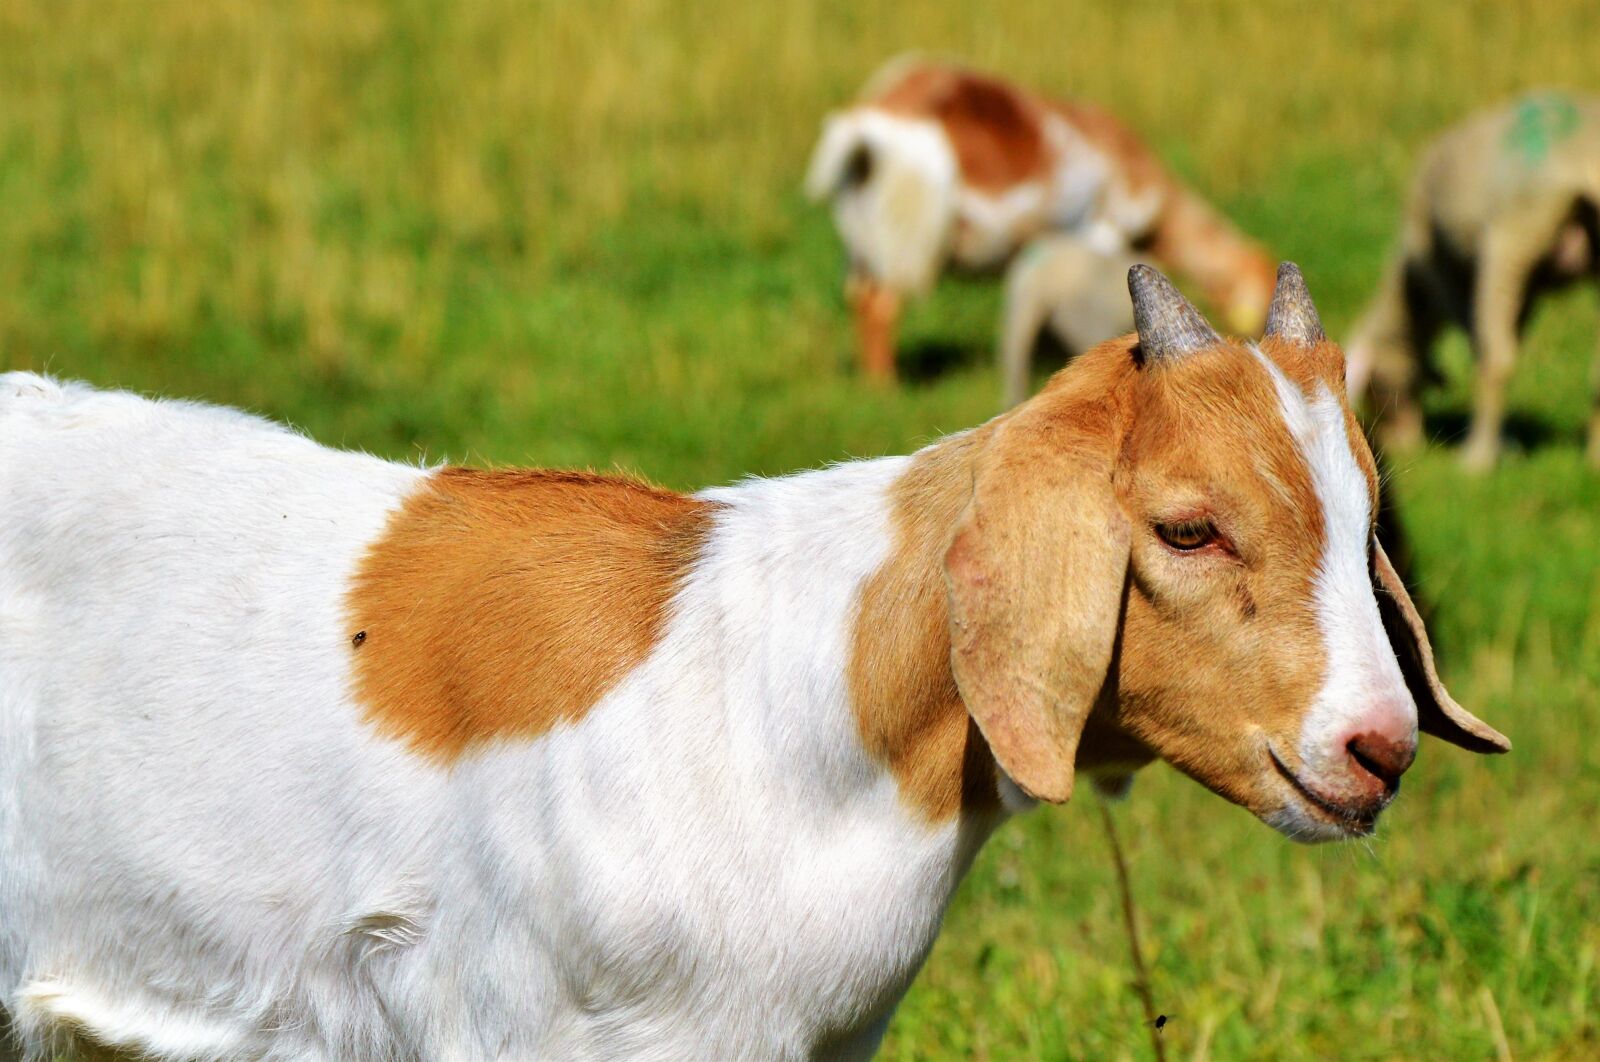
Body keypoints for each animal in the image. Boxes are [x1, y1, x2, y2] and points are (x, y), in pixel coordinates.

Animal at [806, 56, 1278, 385]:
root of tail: (865, 123)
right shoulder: (1103, 227)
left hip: (864, 236)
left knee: (859, 298)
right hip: (905, 234)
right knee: (881, 305)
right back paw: (885, 386)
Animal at [1345, 91, 1600, 470]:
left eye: (1374, 388)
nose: (1402, 445)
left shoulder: (1440, 272)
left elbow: (1479, 341)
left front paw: (1501, 445)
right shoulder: (1529, 290)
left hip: (1515, 232)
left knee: (1497, 358)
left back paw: (1476, 458)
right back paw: (1594, 457)